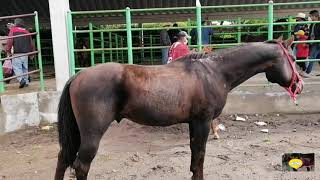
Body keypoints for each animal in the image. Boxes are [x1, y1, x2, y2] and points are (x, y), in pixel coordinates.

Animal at [54, 36, 302, 180]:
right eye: (291, 58)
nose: (299, 85)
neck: (214, 72)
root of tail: (77, 76)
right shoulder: (202, 122)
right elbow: (200, 156)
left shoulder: (194, 123)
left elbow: (194, 156)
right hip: (92, 133)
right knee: (81, 165)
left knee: (63, 158)